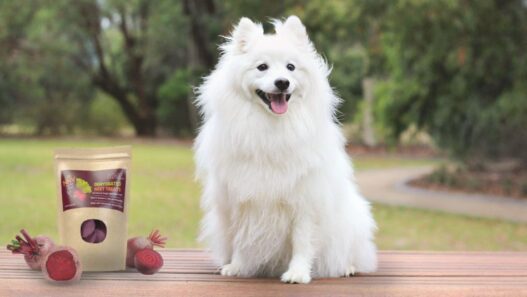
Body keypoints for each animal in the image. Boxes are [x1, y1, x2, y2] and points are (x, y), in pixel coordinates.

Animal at [196, 15, 378, 282]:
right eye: (262, 67)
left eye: (291, 67)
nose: (282, 82)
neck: (272, 127)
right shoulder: (241, 200)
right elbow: (242, 239)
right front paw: (237, 267)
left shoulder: (305, 202)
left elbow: (302, 242)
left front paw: (298, 273)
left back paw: (348, 267)